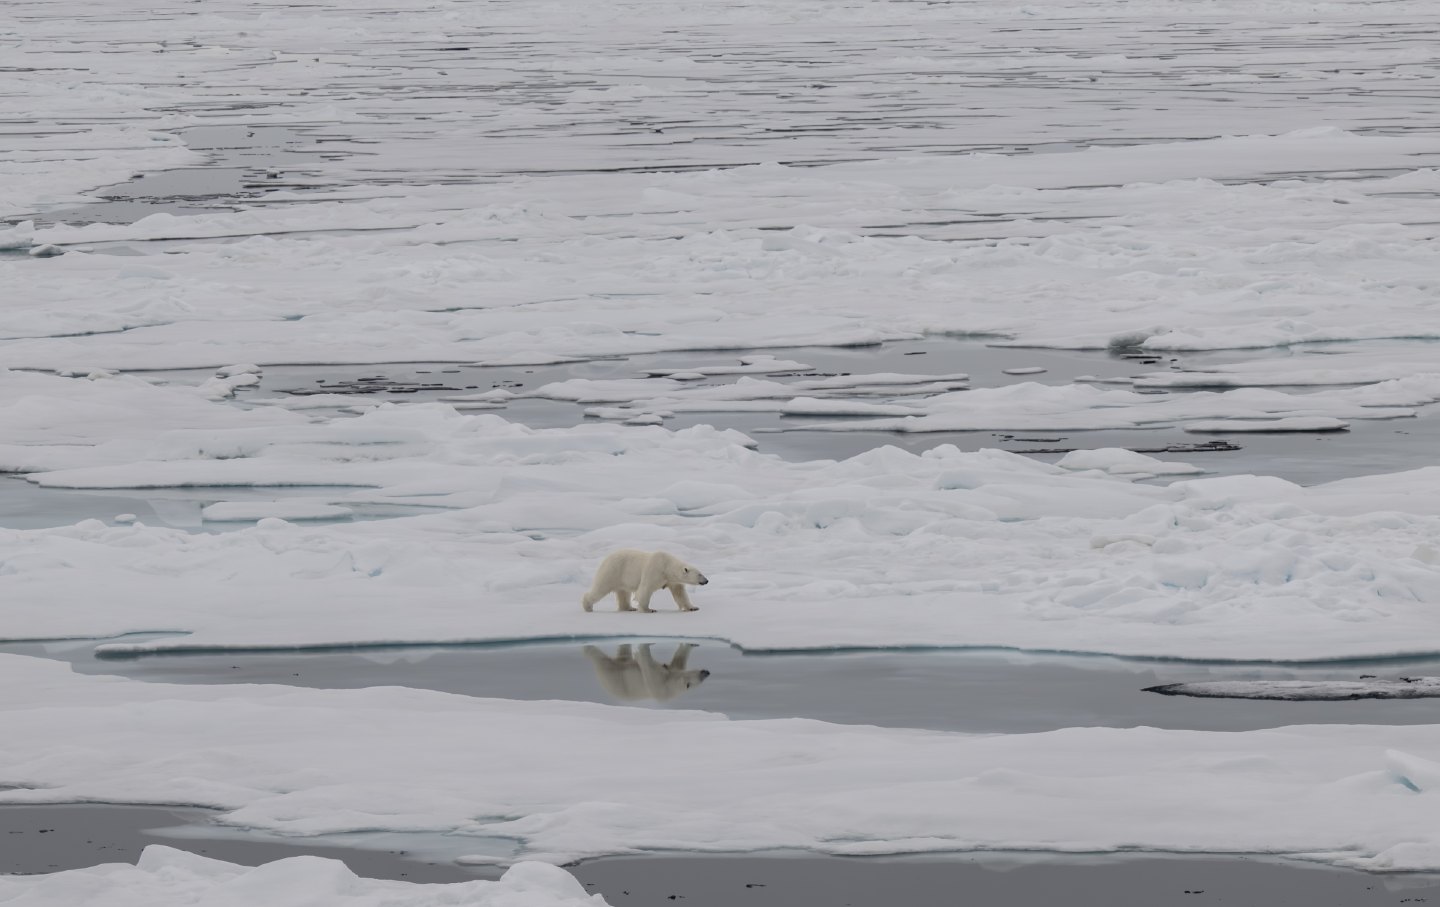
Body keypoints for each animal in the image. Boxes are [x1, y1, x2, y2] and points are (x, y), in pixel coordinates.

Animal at [576, 549, 705, 616]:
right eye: (699, 574)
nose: (706, 580)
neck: (666, 566)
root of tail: (606, 558)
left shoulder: (671, 580)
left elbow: (680, 593)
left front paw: (693, 607)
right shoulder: (654, 570)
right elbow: (645, 590)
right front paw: (649, 609)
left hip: (621, 577)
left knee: (623, 593)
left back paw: (629, 608)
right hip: (612, 571)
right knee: (600, 589)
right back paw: (588, 607)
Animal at [581, 639, 711, 702]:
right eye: (700, 678)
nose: (706, 672)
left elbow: (677, 661)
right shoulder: (660, 684)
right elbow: (648, 665)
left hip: (616, 677)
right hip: (615, 678)